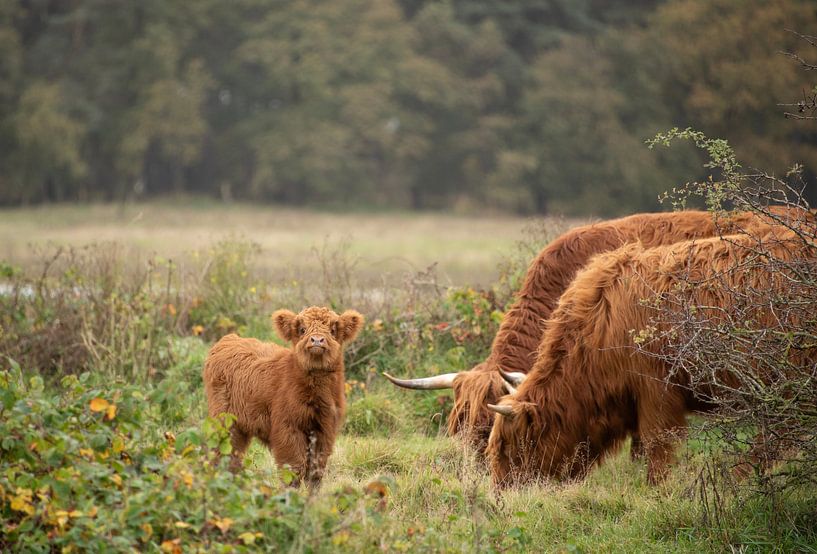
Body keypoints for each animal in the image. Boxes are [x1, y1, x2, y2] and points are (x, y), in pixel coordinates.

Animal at [203, 306, 364, 487]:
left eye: (333, 330)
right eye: (302, 329)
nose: (317, 340)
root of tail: (229, 339)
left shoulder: (325, 429)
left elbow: (316, 471)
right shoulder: (287, 428)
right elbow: (293, 469)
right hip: (224, 420)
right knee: (221, 453)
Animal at [485, 227, 813, 487]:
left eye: (509, 448)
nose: (501, 494)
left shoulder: (657, 391)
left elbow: (657, 445)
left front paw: (657, 489)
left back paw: (740, 476)